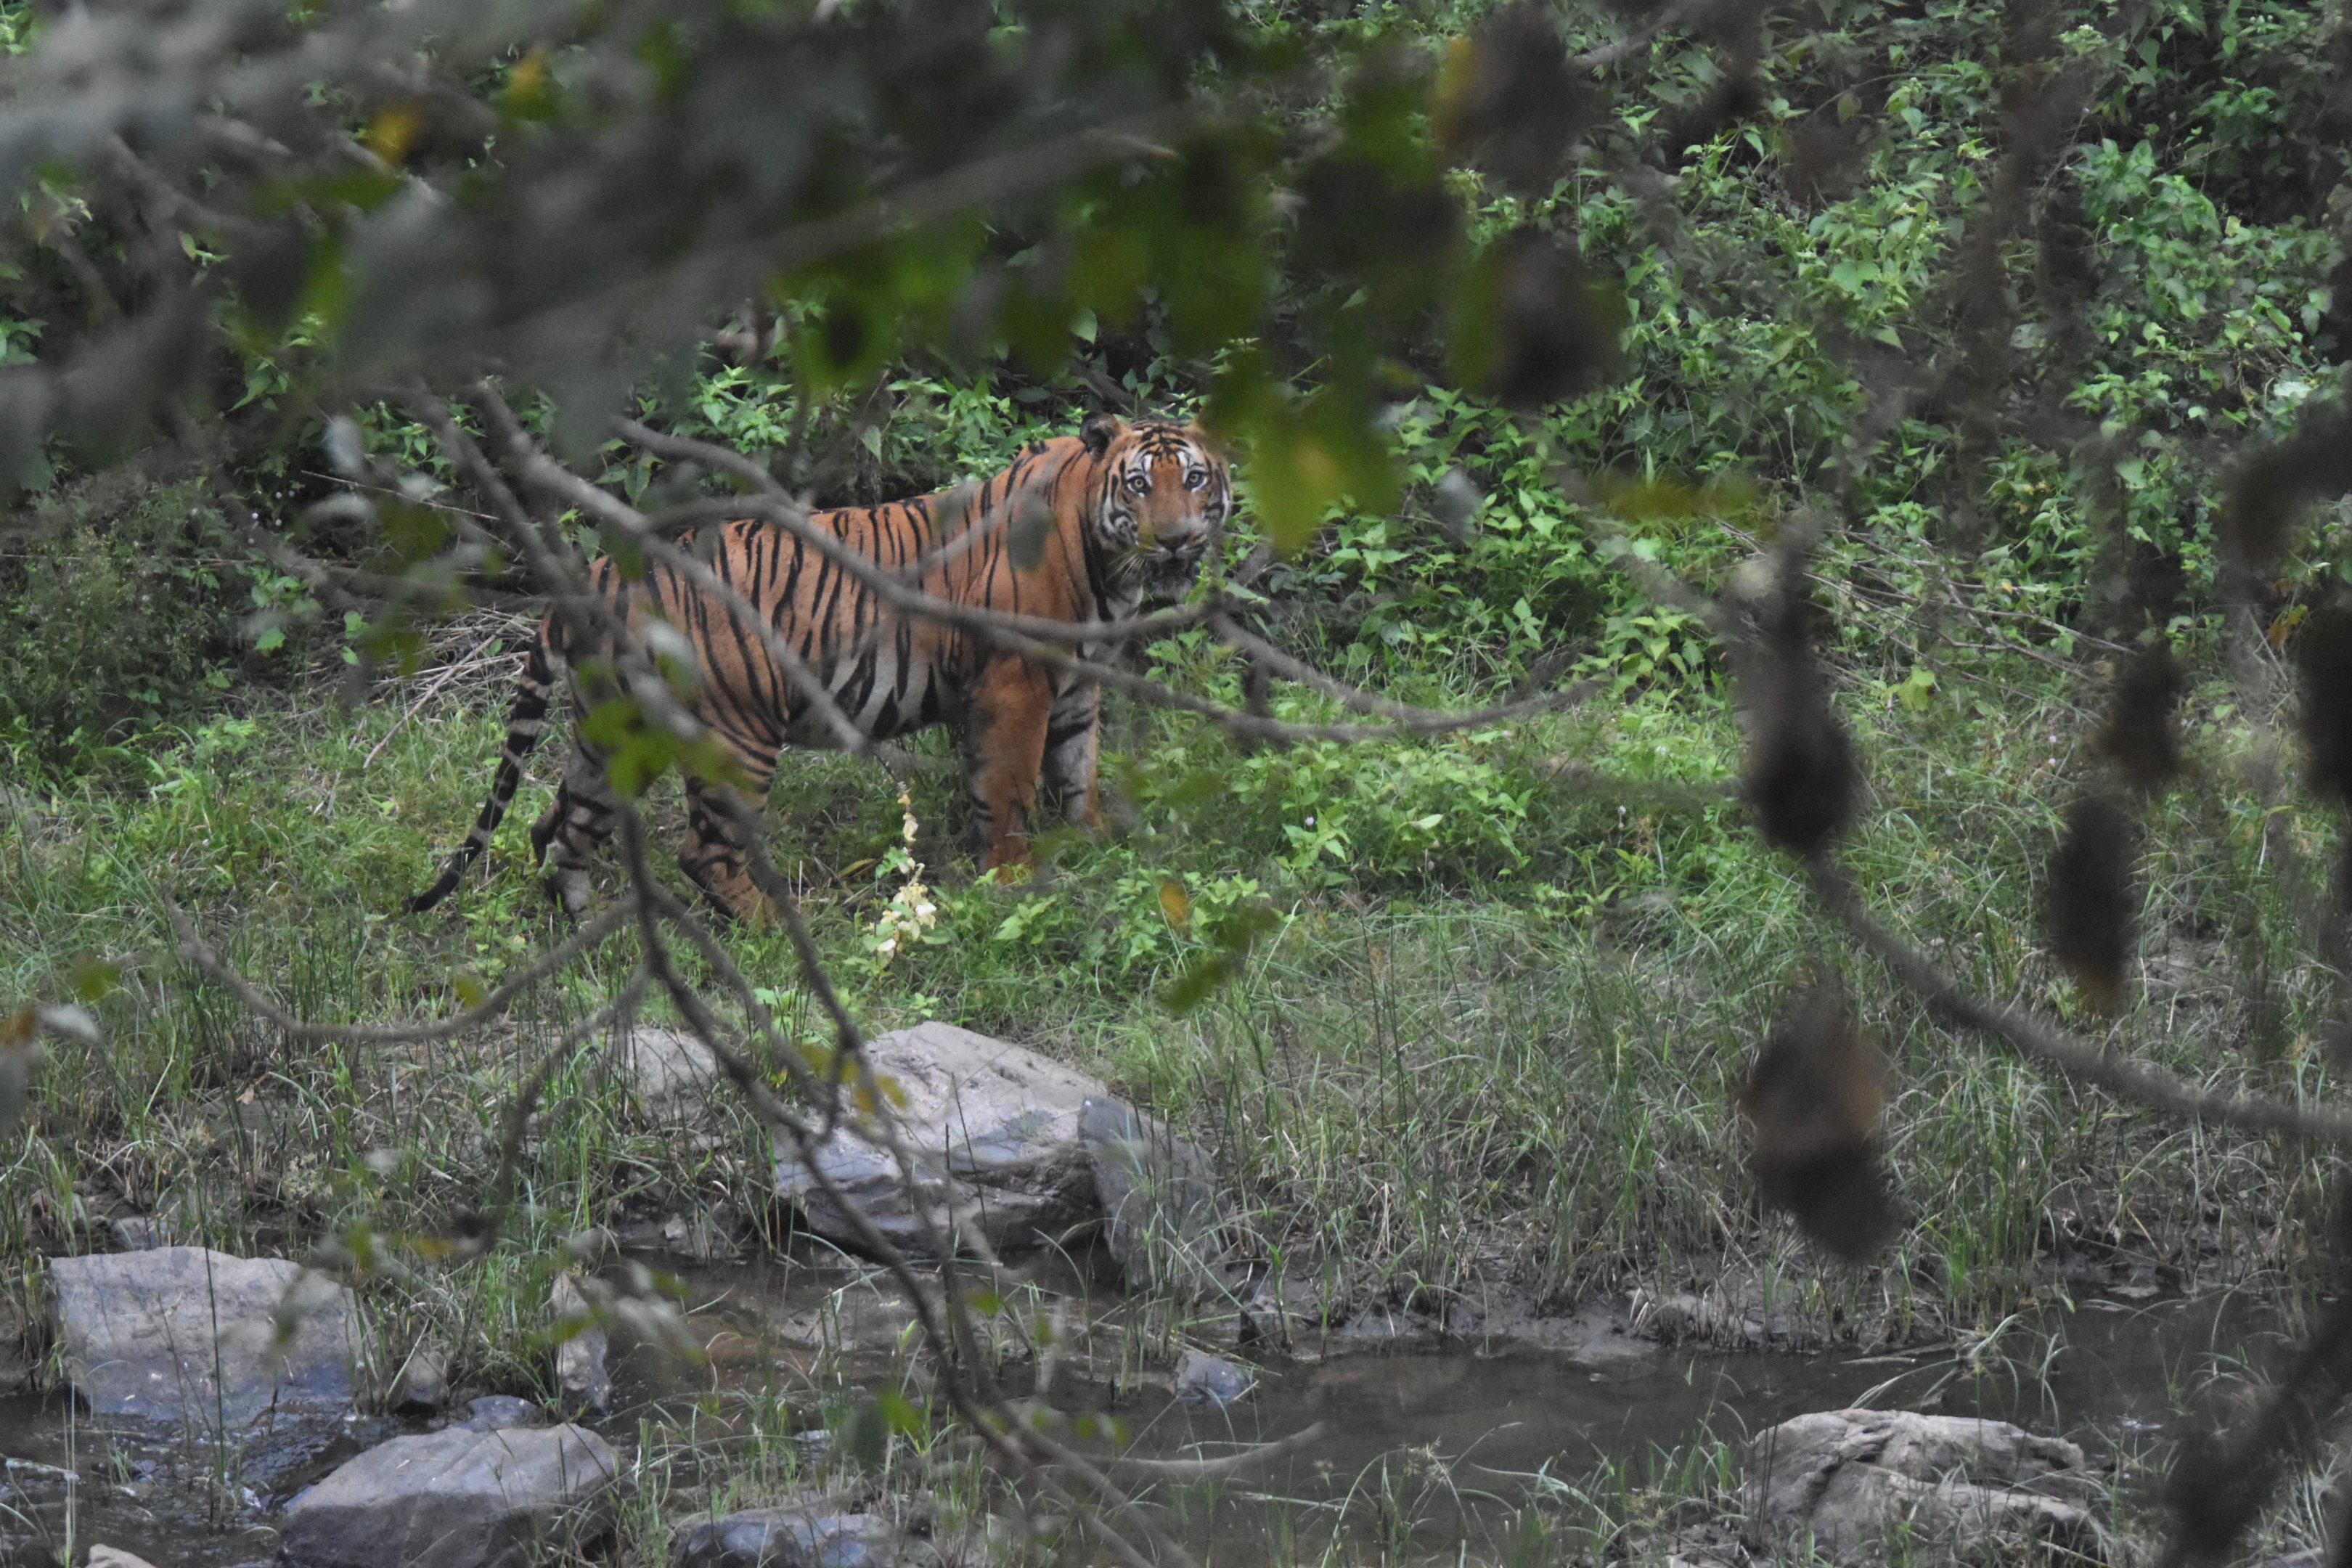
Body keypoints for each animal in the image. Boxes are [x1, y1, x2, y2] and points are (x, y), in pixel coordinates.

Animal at [408, 413, 1232, 922]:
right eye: (1138, 485)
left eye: (1193, 480)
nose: (1176, 541)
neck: (1108, 571)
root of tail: (598, 575)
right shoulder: (1016, 684)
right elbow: (1009, 788)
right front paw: (1012, 880)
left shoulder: (1076, 686)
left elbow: (1077, 766)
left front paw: (1094, 839)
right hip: (738, 736)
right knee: (701, 852)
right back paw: (773, 929)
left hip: (614, 731)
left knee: (560, 825)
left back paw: (586, 929)